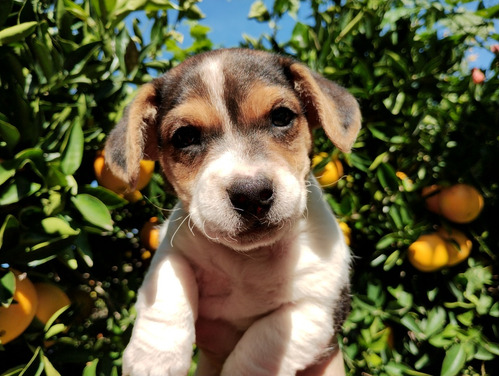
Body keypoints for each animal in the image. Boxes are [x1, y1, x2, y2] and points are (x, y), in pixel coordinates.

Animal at [105, 48, 362, 374]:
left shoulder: (321, 305)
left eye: (281, 117)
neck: (248, 258)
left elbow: (263, 342)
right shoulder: (172, 248)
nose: (251, 194)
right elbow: (168, 286)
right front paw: (153, 358)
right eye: (185, 136)